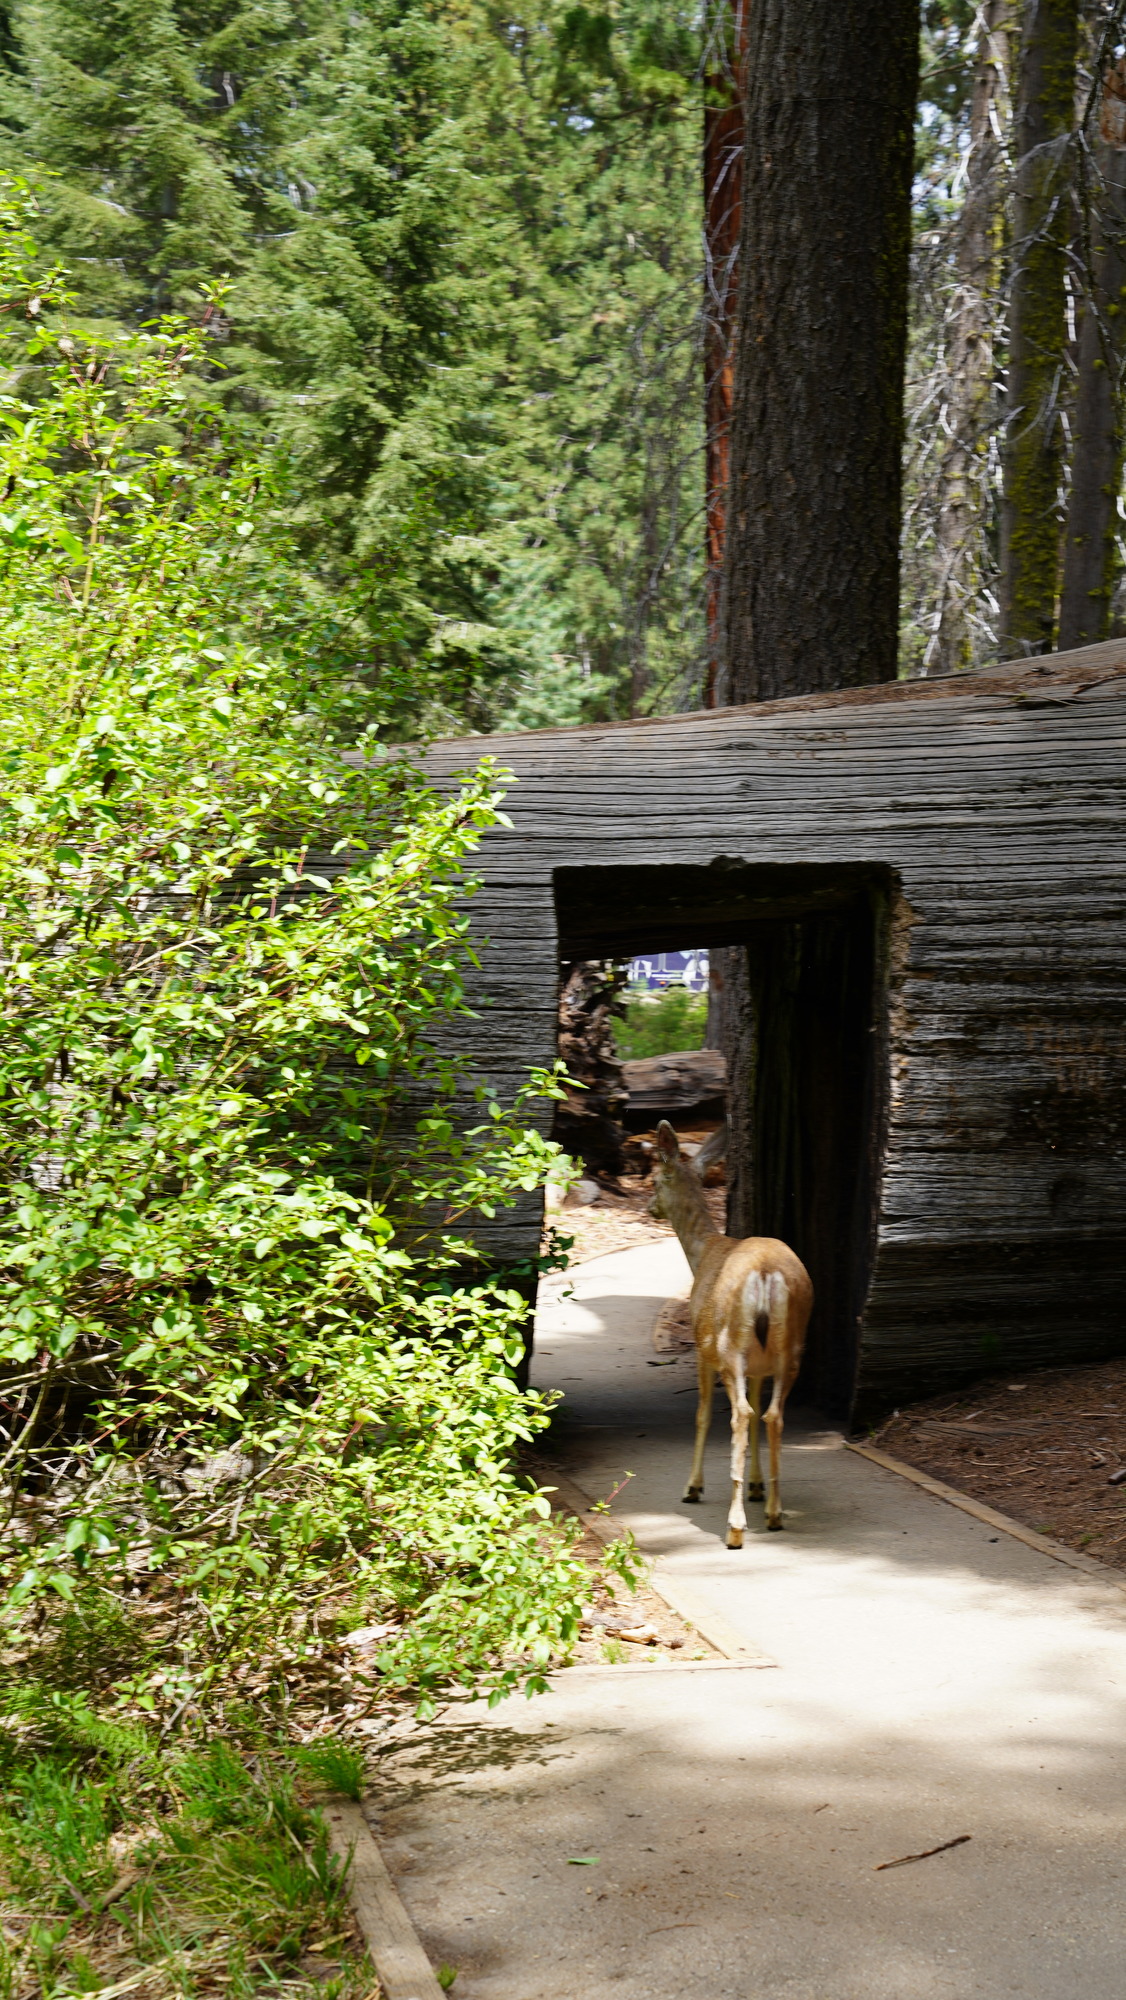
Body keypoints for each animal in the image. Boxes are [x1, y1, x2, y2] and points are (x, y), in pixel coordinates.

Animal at [649, 1119, 813, 1546]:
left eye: (654, 1179)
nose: (649, 1207)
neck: (704, 1252)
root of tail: (766, 1275)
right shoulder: (758, 1366)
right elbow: (757, 1414)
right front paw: (756, 1486)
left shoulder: (701, 1349)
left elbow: (702, 1415)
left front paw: (693, 1486)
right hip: (789, 1348)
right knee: (770, 1414)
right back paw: (773, 1510)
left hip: (729, 1346)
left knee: (739, 1413)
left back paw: (735, 1525)